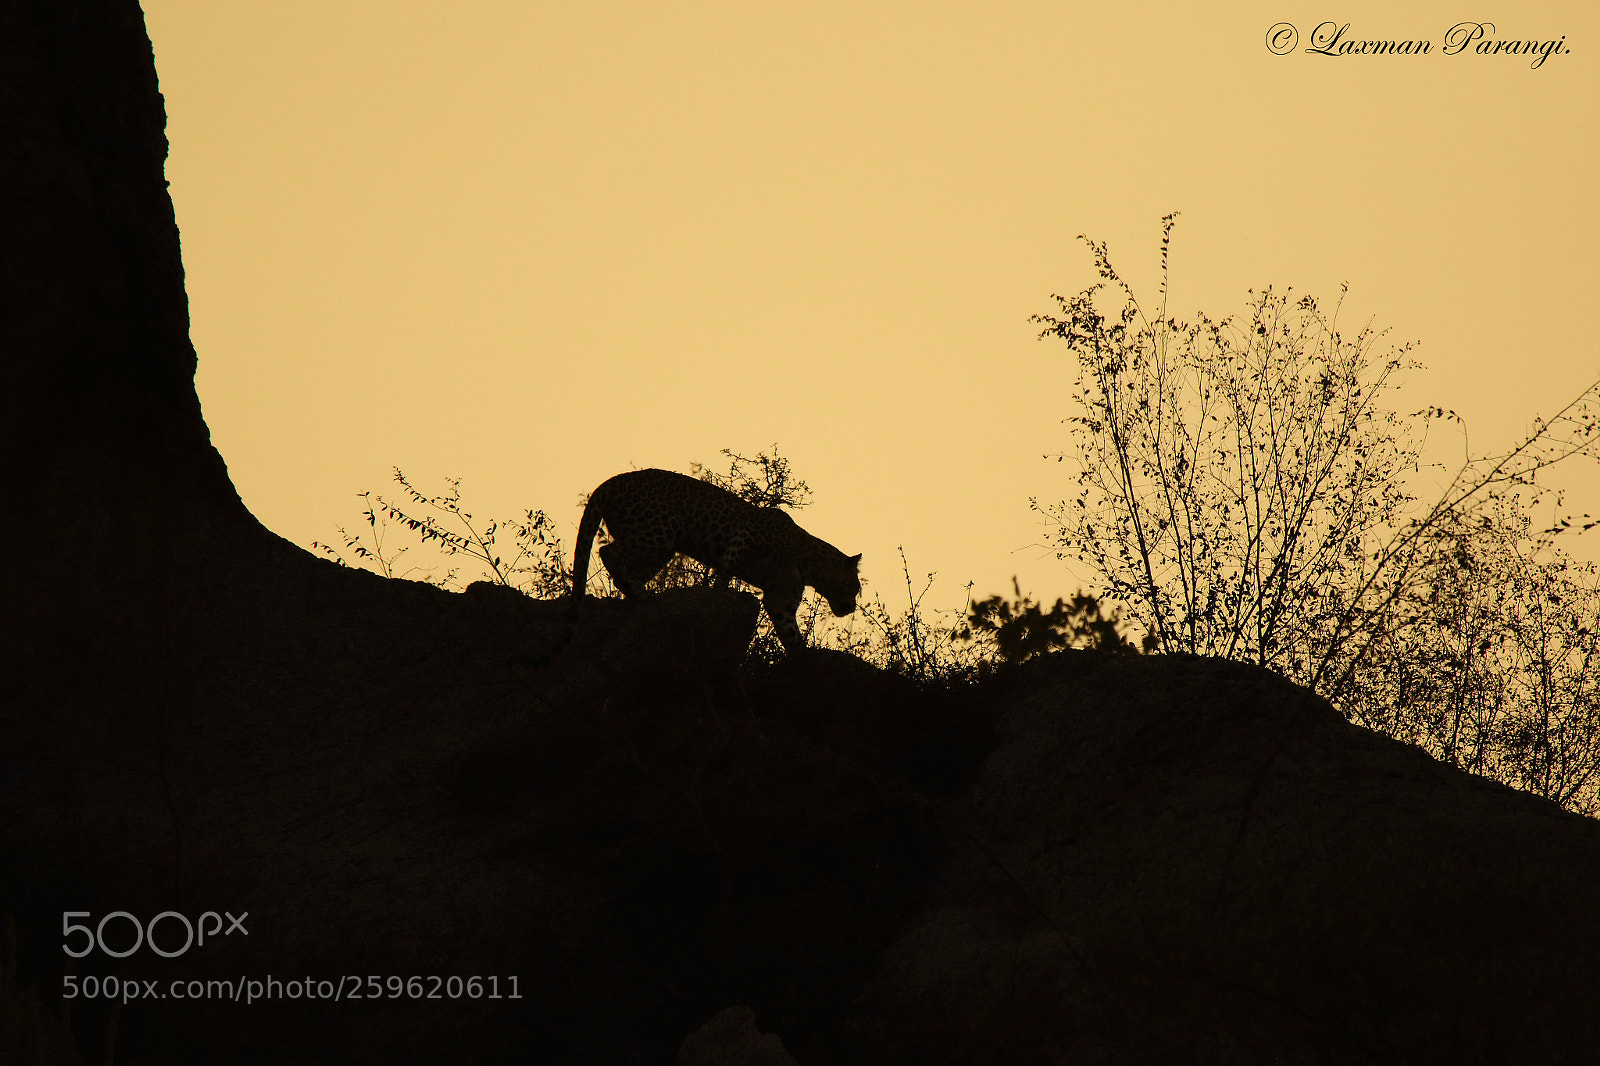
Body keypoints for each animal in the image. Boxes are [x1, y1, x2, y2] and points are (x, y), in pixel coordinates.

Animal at [567, 468, 861, 656]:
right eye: (855, 587)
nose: (852, 608)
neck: (808, 562)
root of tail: (609, 483)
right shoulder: (744, 535)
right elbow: (725, 571)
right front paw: (718, 597)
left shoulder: (781, 599)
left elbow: (789, 629)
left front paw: (801, 654)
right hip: (658, 532)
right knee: (608, 552)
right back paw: (642, 595)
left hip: (659, 546)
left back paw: (639, 596)